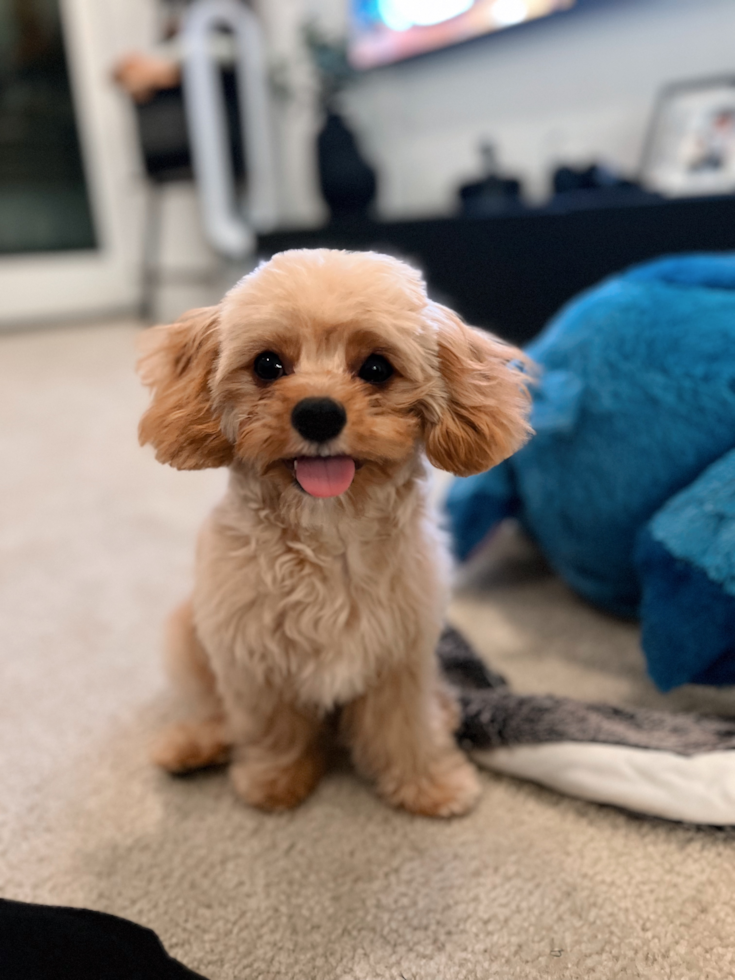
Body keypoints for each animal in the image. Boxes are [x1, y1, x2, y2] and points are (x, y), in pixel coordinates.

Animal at [138, 249, 532, 816]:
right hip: (186, 634)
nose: (319, 414)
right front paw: (276, 781)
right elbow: (273, 730)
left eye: (376, 368)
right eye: (267, 365)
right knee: (216, 709)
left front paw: (428, 783)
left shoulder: (401, 658)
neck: (329, 536)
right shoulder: (251, 661)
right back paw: (197, 742)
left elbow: (404, 729)